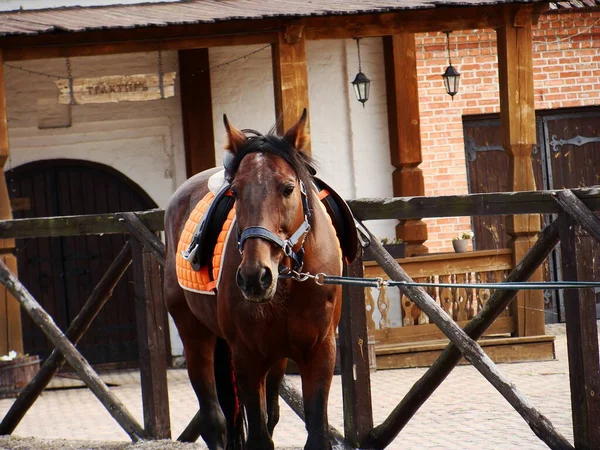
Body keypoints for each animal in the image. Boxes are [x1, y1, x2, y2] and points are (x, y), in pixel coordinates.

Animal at [164, 111, 344, 450]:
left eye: (288, 188)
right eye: (235, 192)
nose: (254, 277)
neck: (290, 281)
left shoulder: (320, 353)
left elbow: (314, 434)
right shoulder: (247, 358)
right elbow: (258, 438)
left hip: (276, 358)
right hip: (195, 336)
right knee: (214, 421)